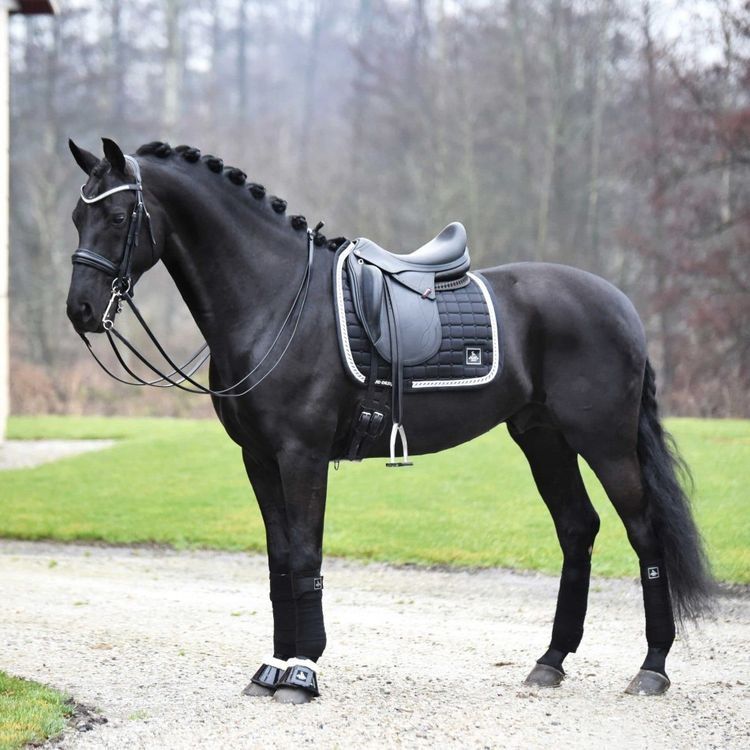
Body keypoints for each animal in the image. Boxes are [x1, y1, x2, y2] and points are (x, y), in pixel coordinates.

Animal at [64, 137, 712, 704]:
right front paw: (272, 667)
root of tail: (620, 304)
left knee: (644, 533)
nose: (81, 311)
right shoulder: (259, 458)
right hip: (543, 438)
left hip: (604, 442)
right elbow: (278, 563)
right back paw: (550, 661)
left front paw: (303, 671)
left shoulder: (301, 455)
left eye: (119, 215)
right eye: (77, 217)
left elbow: (304, 558)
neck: (274, 301)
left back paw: (652, 667)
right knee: (578, 529)